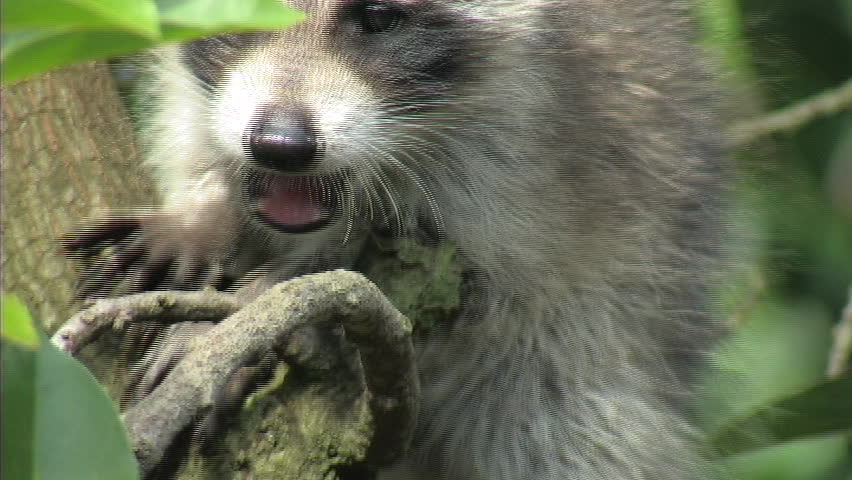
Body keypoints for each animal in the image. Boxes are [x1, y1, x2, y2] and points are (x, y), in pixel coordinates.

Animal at [71, 0, 731, 479]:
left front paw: (248, 313)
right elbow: (199, 142)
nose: (281, 145)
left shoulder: (530, 155)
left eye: (378, 19)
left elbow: (449, 281)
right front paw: (203, 215)